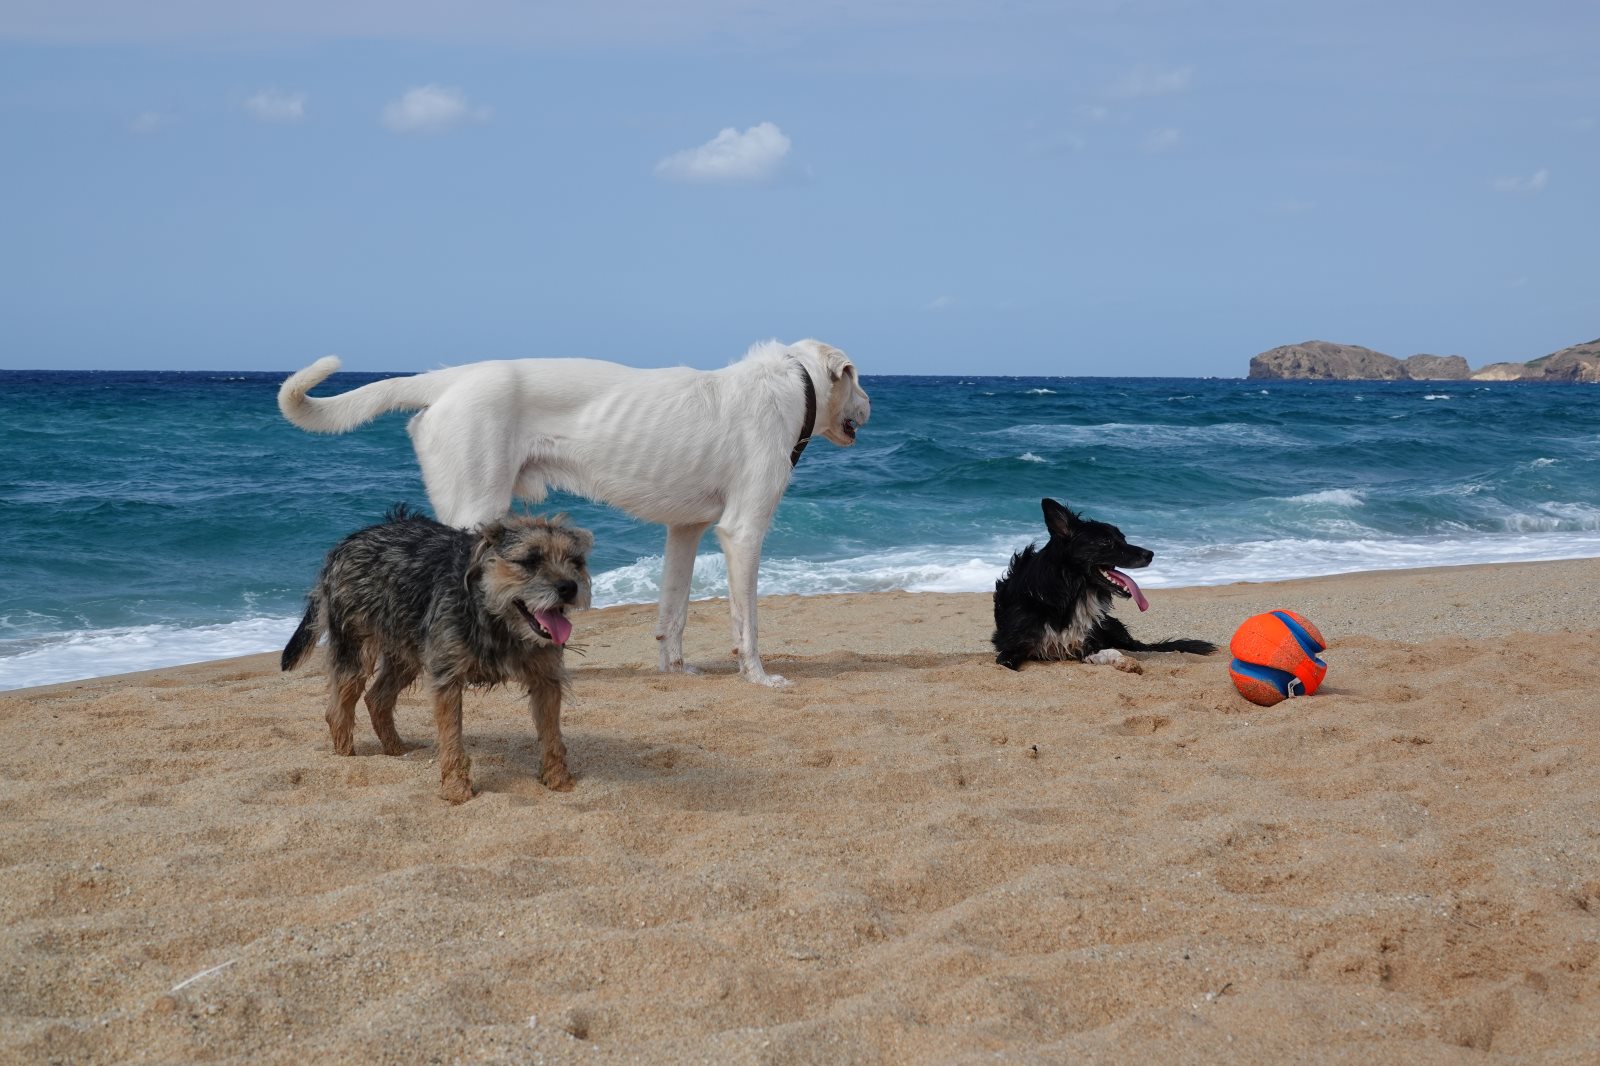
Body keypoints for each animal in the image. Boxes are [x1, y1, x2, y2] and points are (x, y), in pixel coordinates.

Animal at [280, 342, 870, 688]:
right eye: (858, 378)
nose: (870, 405)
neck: (795, 384)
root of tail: (451, 378)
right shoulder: (742, 532)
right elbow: (747, 620)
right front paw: (759, 676)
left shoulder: (685, 531)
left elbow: (673, 613)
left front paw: (676, 670)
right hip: (475, 508)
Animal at [283, 502, 595, 800]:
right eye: (531, 560)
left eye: (576, 562)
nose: (569, 587)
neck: (495, 618)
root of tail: (343, 545)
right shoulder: (447, 679)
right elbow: (452, 738)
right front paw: (456, 790)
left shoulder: (546, 679)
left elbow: (552, 735)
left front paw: (559, 780)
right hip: (355, 649)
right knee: (338, 710)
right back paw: (347, 757)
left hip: (405, 652)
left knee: (377, 698)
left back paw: (397, 749)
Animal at [985, 499, 1209, 669]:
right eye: (1106, 541)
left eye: (1123, 538)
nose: (1151, 554)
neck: (1069, 592)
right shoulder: (1011, 646)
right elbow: (1006, 660)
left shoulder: (1089, 640)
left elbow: (1109, 651)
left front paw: (1122, 661)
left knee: (1138, 646)